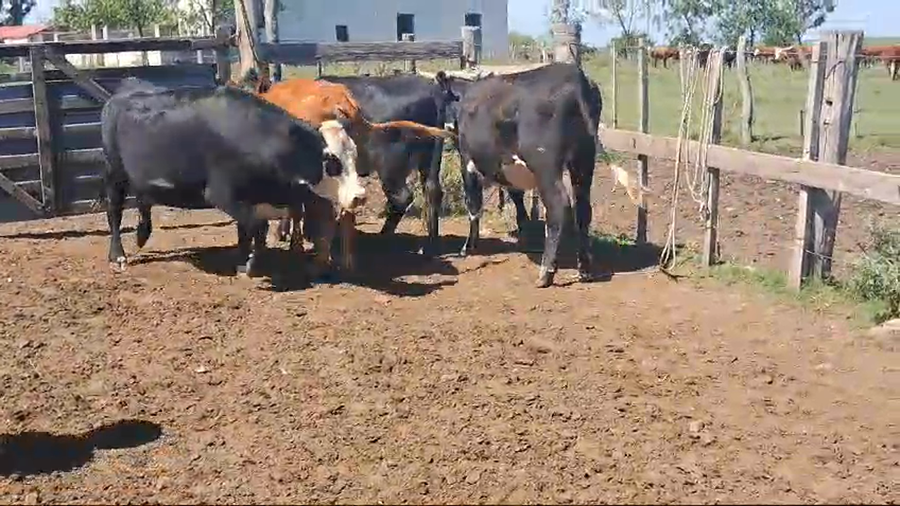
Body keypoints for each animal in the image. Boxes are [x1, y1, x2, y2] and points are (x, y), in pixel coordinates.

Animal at [100, 79, 363, 278]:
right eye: (331, 161)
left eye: (354, 155)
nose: (359, 196)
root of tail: (123, 91)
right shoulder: (222, 195)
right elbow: (256, 225)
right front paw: (250, 262)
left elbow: (251, 229)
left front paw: (245, 258)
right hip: (114, 174)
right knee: (115, 212)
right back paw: (118, 256)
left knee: (143, 199)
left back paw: (142, 234)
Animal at [448, 62, 602, 288]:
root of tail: (574, 74)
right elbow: (517, 197)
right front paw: (524, 234)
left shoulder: (467, 163)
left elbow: (474, 207)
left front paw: (468, 246)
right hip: (584, 160)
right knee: (583, 208)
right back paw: (584, 269)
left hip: (545, 166)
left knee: (559, 206)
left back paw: (546, 272)